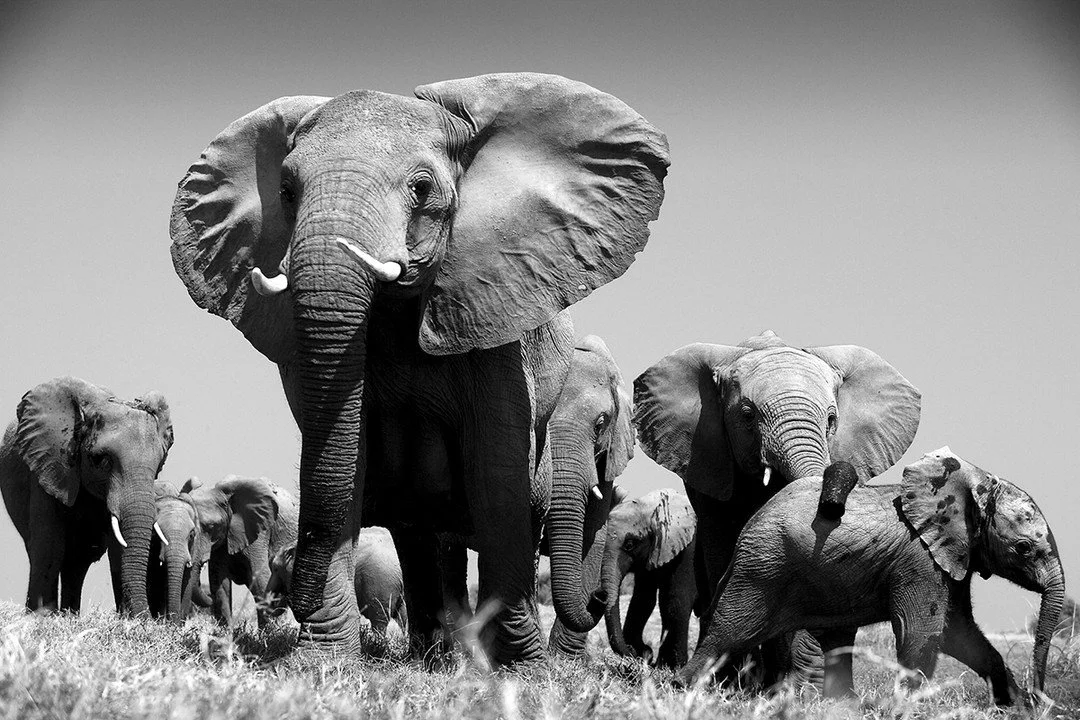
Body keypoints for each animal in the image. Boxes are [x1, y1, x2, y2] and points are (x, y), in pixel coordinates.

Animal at [0, 377, 173, 615]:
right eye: (101, 460)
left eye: (158, 466)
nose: (148, 617)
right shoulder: (47, 465)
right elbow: (49, 546)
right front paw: (40, 618)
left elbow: (118, 550)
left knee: (77, 563)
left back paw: (69, 616)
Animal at [595, 488, 698, 669]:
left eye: (630, 545)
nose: (646, 652)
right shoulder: (651, 555)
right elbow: (642, 600)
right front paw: (655, 662)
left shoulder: (689, 549)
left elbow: (677, 599)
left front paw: (674, 667)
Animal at [633, 330, 920, 678]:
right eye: (747, 416)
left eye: (832, 419)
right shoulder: (709, 460)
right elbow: (725, 545)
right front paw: (730, 682)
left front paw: (792, 683)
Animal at [678, 450, 1066, 708]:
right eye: (1023, 548)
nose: (1040, 699)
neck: (969, 486)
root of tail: (750, 524)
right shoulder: (920, 559)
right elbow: (922, 631)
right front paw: (906, 708)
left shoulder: (950, 556)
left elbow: (958, 632)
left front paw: (1014, 706)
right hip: (762, 568)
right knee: (731, 632)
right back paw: (681, 687)